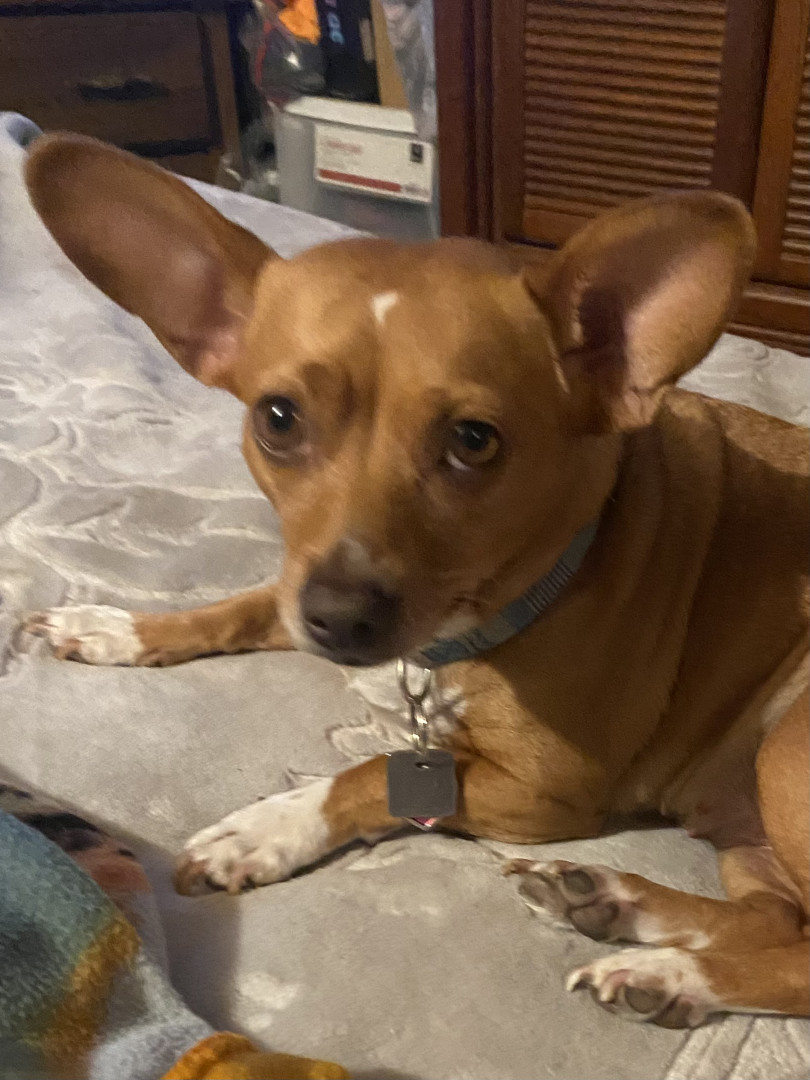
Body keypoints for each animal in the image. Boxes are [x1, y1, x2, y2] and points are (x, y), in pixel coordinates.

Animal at [23, 133, 808, 1029]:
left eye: (474, 440)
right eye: (277, 418)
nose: (339, 619)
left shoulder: (543, 791)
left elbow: (370, 773)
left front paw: (269, 826)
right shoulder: (300, 587)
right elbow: (242, 604)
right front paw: (117, 628)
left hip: (785, 747)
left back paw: (669, 971)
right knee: (774, 920)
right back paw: (614, 902)